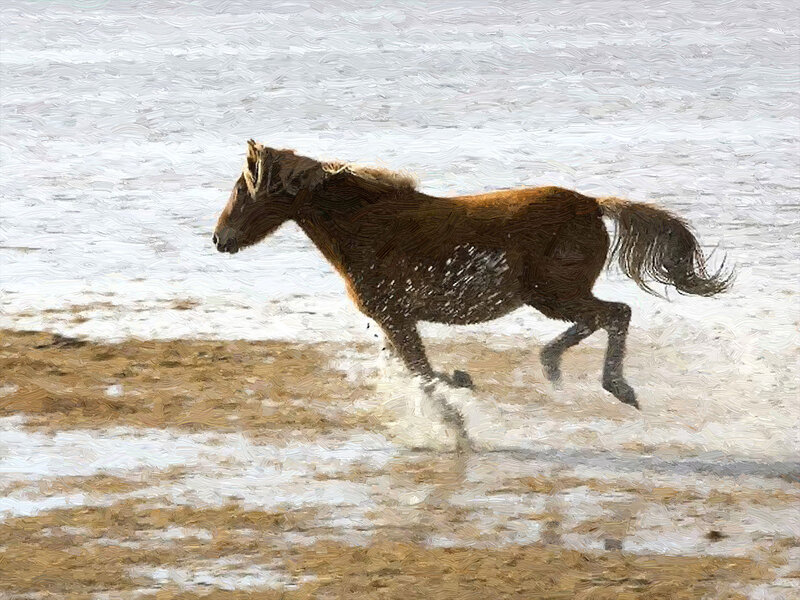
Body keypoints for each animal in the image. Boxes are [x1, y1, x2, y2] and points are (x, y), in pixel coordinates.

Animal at [213, 140, 732, 409]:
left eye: (243, 187)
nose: (219, 239)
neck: (366, 225)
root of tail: (592, 204)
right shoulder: (394, 321)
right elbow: (416, 370)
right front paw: (461, 380)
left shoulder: (396, 316)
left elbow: (423, 373)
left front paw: (459, 387)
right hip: (551, 296)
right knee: (599, 319)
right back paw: (553, 366)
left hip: (554, 293)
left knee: (616, 314)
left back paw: (617, 387)